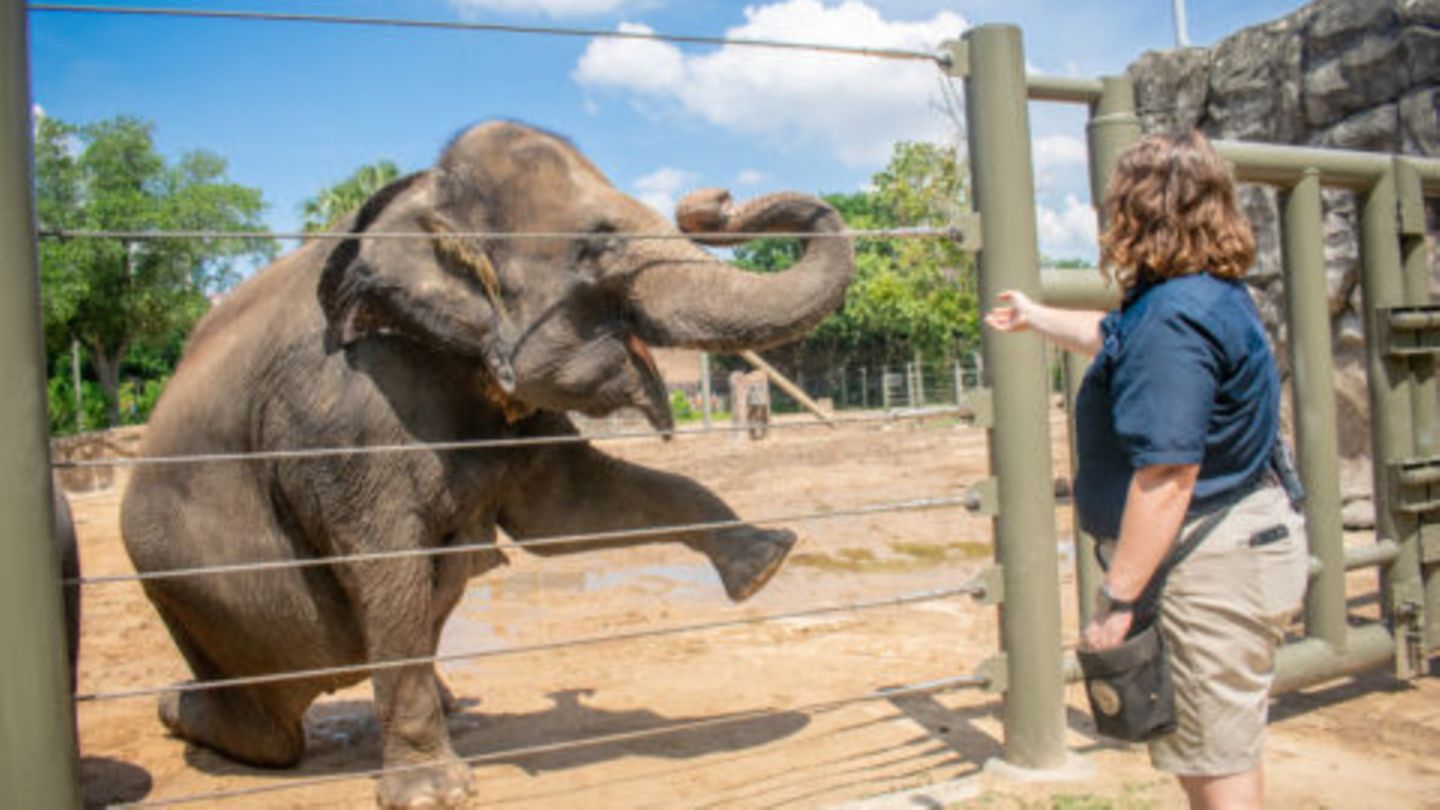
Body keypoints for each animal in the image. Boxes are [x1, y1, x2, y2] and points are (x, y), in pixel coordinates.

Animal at [120, 121, 854, 808]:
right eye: (596, 245)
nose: (713, 201)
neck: (423, 204)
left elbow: (569, 509)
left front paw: (765, 562)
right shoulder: (341, 408)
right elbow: (389, 559)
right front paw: (433, 794)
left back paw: (451, 705)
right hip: (207, 613)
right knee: (270, 730)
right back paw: (172, 707)